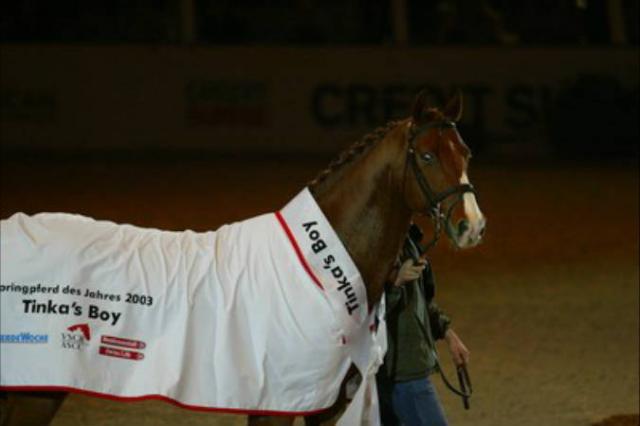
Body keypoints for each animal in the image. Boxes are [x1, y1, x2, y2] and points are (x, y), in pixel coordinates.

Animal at [0, 90, 485, 426]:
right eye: (427, 155)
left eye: (465, 153)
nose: (472, 226)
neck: (321, 271)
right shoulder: (277, 404)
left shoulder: (327, 406)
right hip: (32, 390)